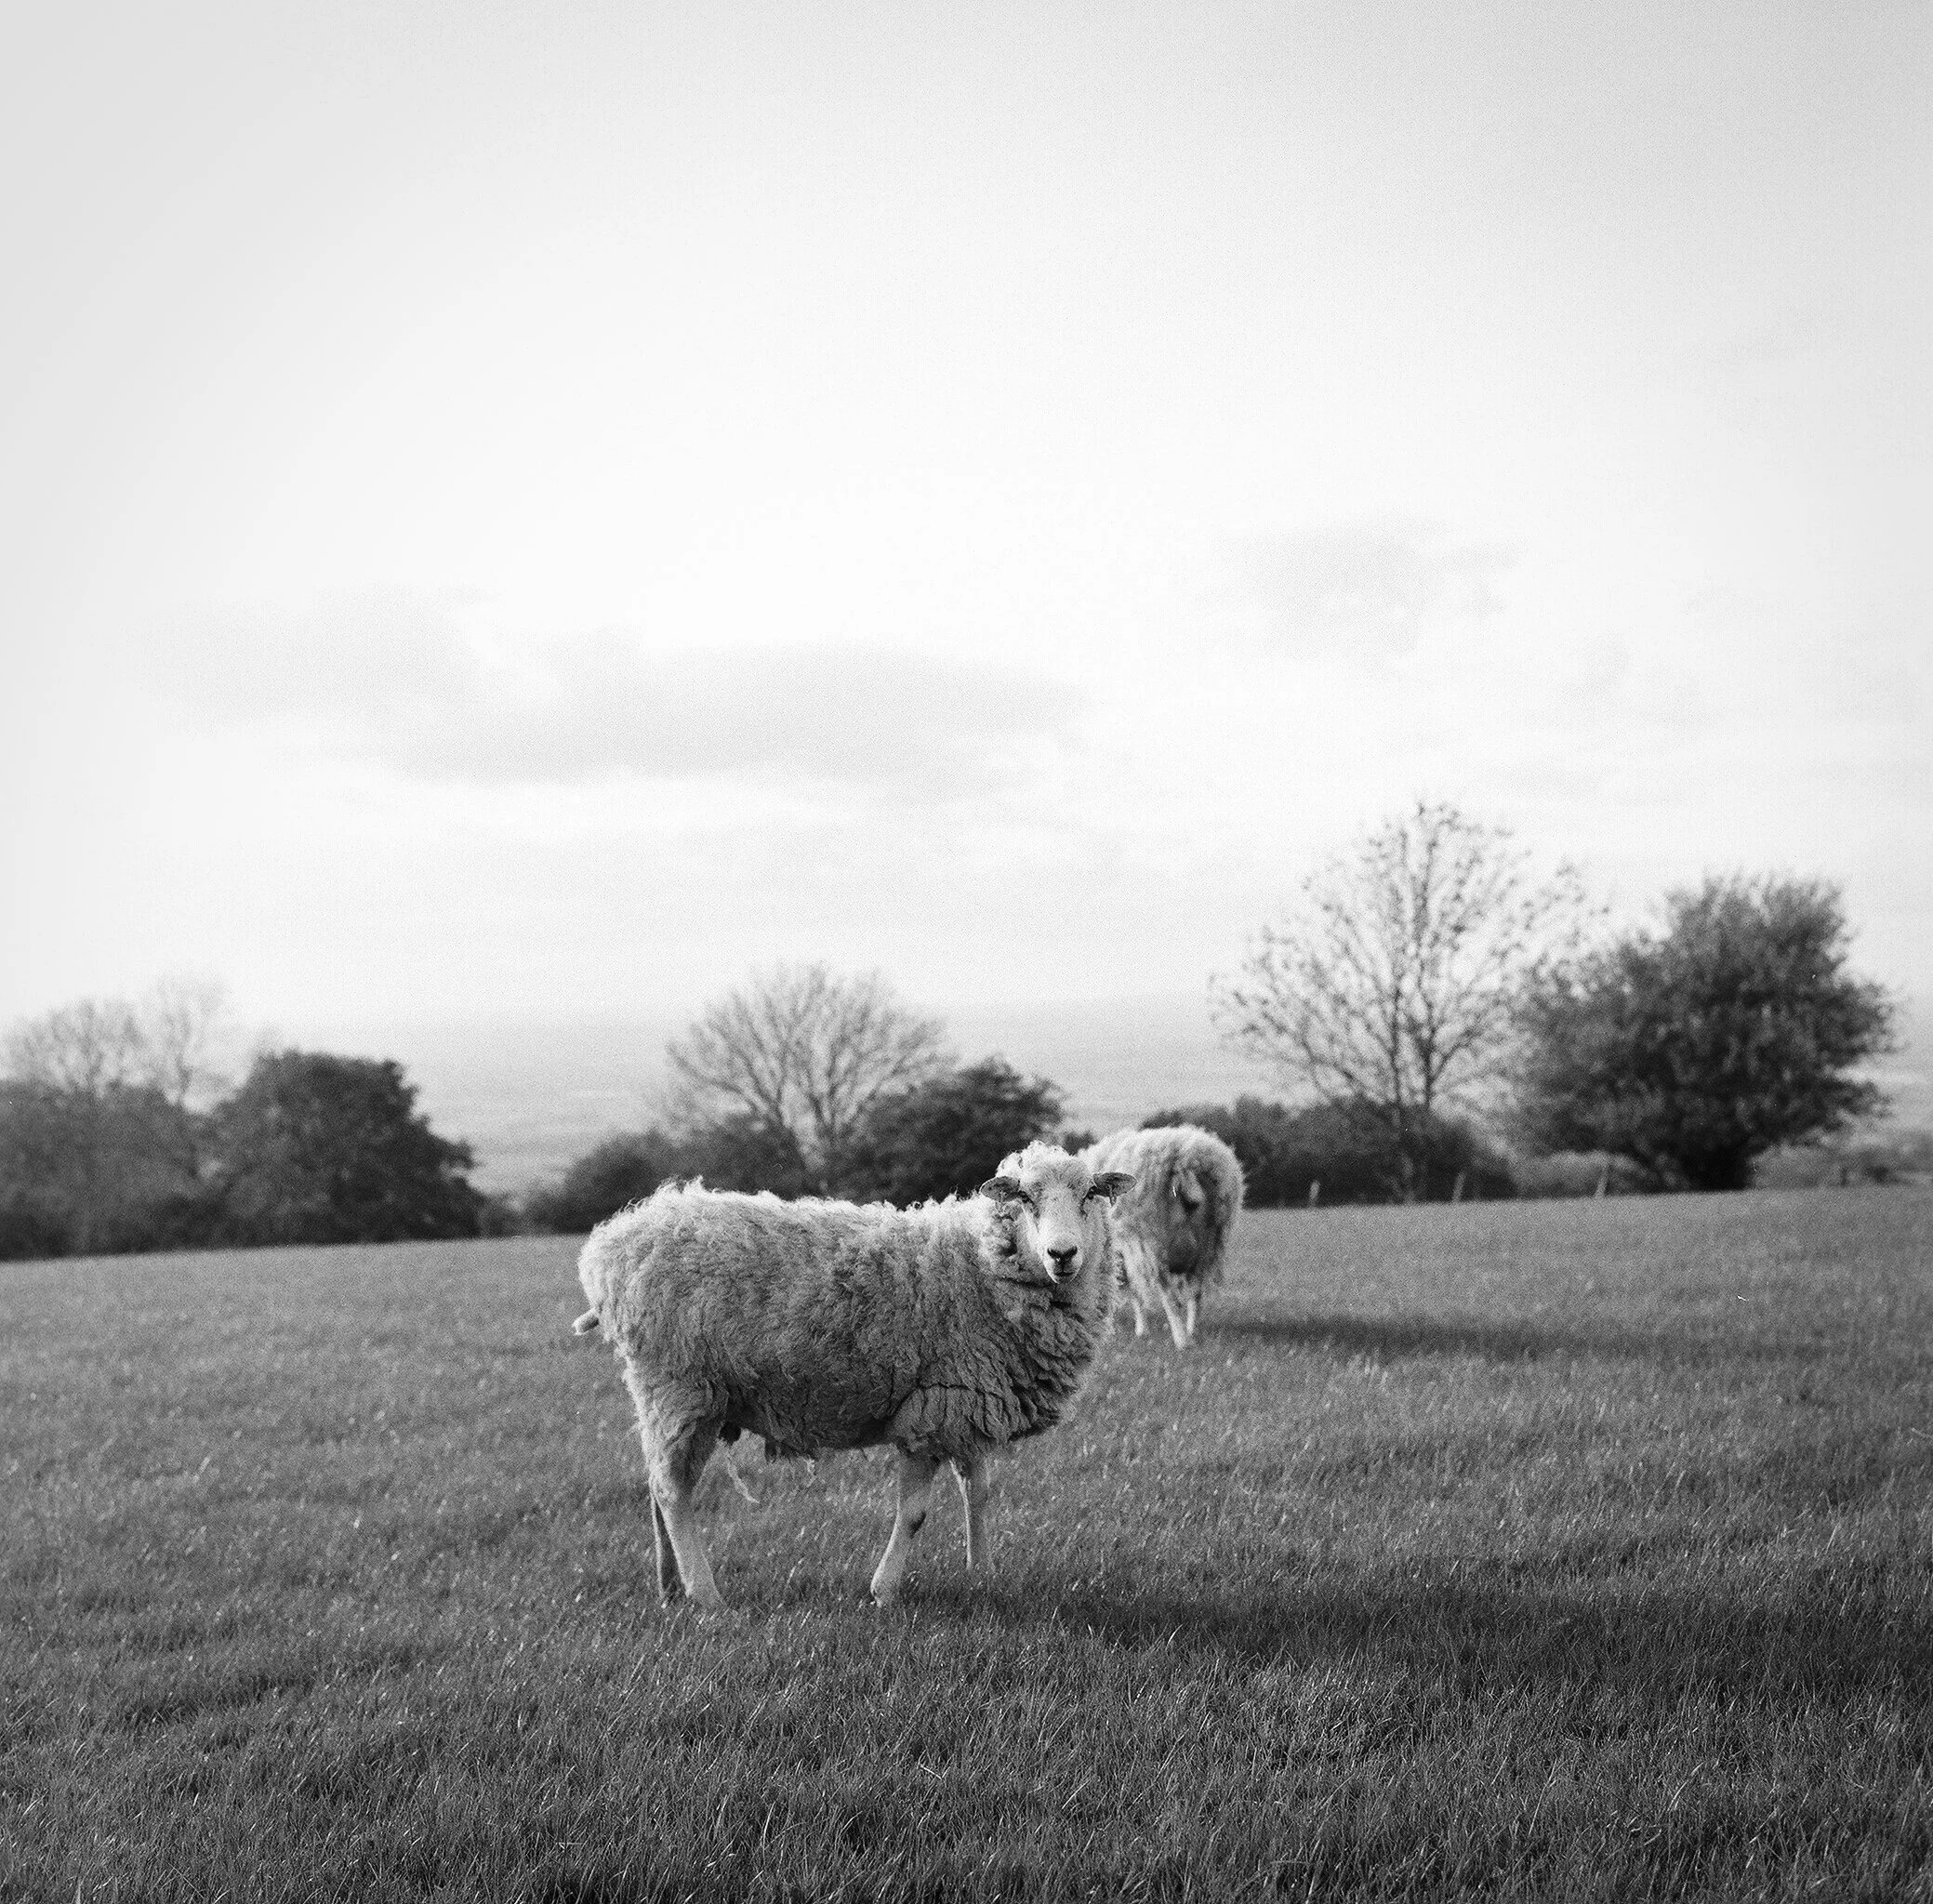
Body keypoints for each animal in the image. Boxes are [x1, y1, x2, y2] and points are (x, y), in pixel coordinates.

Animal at [572, 1141, 1134, 1612]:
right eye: (1024, 1199)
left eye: (1090, 1195)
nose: (1063, 1254)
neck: (978, 1266)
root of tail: (609, 1248)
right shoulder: (931, 1408)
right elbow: (915, 1514)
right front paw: (884, 1591)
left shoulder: (968, 1400)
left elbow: (978, 1492)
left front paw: (984, 1573)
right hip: (679, 1385)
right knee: (672, 1492)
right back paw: (706, 1596)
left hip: (673, 1395)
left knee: (659, 1485)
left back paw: (669, 1588)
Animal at [1083, 1124, 1243, 1349]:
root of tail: (1184, 1163)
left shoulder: (1130, 1252)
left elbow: (1137, 1295)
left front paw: (1141, 1330)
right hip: (1206, 1248)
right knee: (1196, 1294)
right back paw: (1192, 1332)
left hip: (1152, 1244)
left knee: (1171, 1298)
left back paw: (1182, 1340)